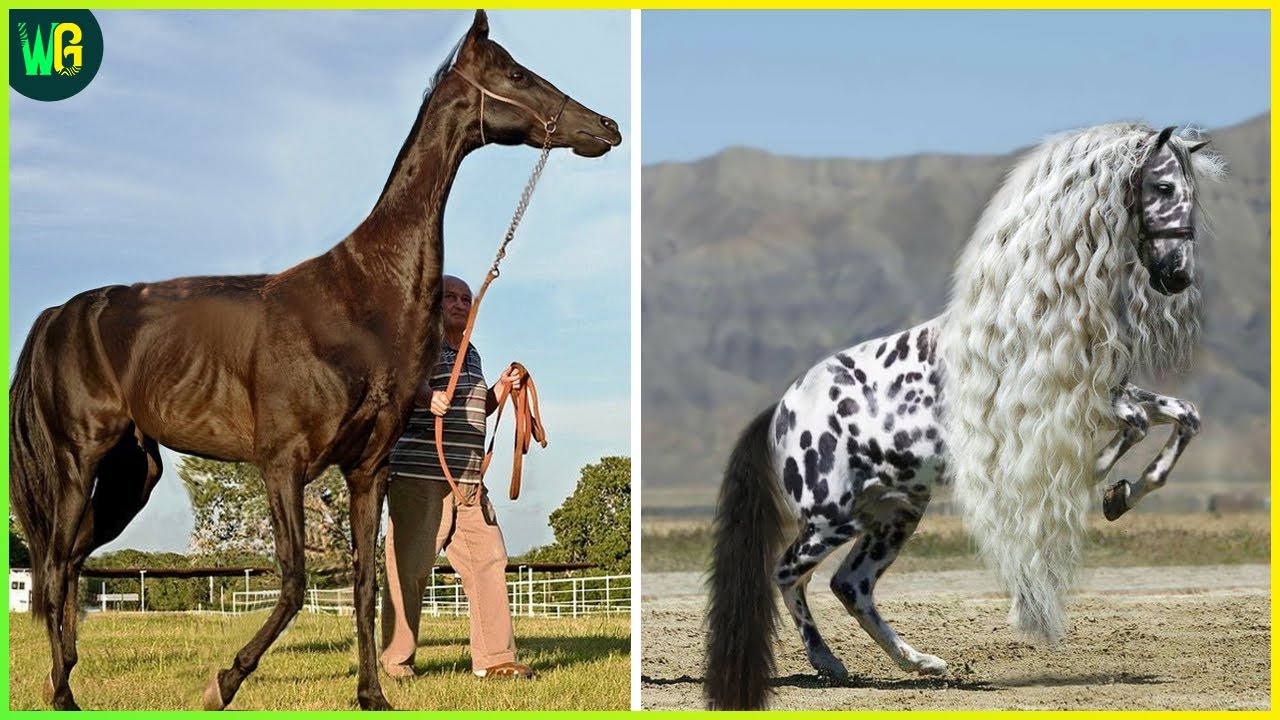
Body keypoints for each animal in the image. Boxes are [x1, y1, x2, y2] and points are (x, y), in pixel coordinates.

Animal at [8, 10, 621, 711]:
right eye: (516, 74)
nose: (607, 127)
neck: (361, 297)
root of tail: (59, 314)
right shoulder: (283, 463)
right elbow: (297, 580)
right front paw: (223, 682)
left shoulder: (368, 469)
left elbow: (365, 583)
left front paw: (371, 694)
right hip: (76, 462)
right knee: (56, 565)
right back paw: (62, 694)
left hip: (133, 472)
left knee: (74, 560)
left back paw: (63, 675)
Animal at [704, 123, 1223, 710]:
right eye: (1162, 186)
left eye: (1193, 193)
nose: (1177, 276)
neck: (1032, 310)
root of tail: (780, 412)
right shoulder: (1068, 402)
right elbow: (1134, 421)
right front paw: (1100, 481)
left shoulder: (1103, 392)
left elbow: (1183, 415)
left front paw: (1120, 494)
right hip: (831, 518)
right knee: (789, 573)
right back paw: (829, 663)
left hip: (896, 512)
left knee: (851, 585)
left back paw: (923, 664)